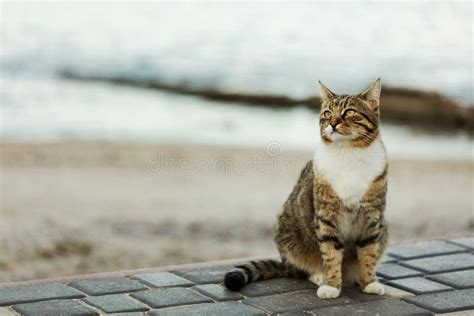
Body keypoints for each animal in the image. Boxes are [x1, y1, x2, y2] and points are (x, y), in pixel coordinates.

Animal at [226, 78, 388, 298]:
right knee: (299, 269)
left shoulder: (372, 217)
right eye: (327, 113)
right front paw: (331, 284)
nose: (333, 123)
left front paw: (369, 281)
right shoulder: (326, 216)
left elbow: (369, 253)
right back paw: (318, 275)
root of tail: (284, 262)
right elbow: (330, 253)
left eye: (349, 112)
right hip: (287, 232)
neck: (348, 153)